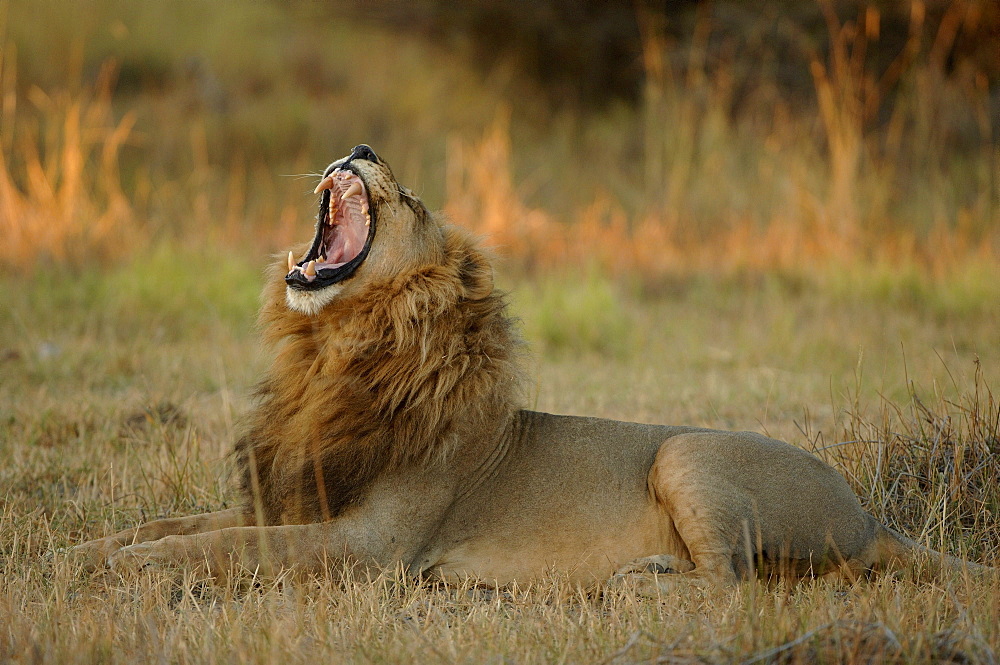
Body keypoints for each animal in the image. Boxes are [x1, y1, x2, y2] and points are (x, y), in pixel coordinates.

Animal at [72, 144, 992, 588]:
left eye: (412, 201)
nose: (360, 143)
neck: (329, 353)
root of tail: (872, 513)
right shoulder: (294, 494)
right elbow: (181, 524)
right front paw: (90, 548)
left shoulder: (371, 546)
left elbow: (228, 547)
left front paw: (137, 569)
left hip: (685, 451)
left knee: (737, 585)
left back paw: (647, 583)